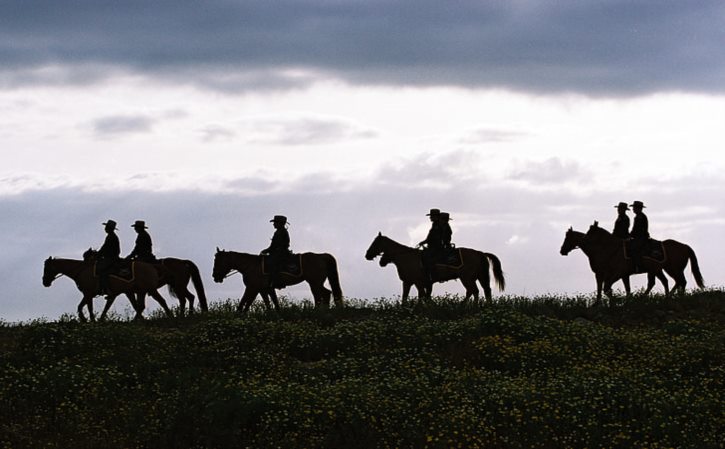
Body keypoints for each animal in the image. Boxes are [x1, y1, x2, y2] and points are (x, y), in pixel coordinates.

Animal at [42, 256, 173, 322]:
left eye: (46, 268)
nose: (45, 282)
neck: (82, 270)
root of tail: (152, 266)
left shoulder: (88, 293)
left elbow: (84, 307)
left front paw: (88, 319)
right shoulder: (92, 294)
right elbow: (89, 307)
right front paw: (93, 319)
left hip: (146, 290)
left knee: (146, 304)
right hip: (145, 290)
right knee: (151, 303)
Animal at [211, 247, 344, 314]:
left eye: (218, 261)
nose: (215, 277)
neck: (250, 265)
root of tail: (321, 255)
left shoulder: (252, 287)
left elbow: (245, 301)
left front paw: (239, 315)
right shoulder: (264, 289)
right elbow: (270, 303)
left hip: (314, 283)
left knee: (320, 296)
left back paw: (317, 311)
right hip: (316, 283)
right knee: (326, 294)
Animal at [362, 233, 504, 302]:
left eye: (375, 243)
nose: (367, 255)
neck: (406, 257)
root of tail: (480, 253)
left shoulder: (418, 282)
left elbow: (422, 296)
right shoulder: (408, 282)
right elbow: (406, 297)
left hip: (467, 278)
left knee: (474, 291)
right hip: (478, 277)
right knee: (484, 291)